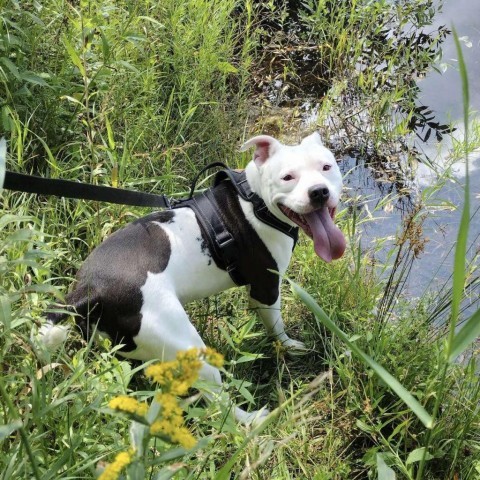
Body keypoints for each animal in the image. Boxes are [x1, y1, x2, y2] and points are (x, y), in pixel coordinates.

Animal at [37, 131, 344, 424]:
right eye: (287, 177)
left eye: (326, 167)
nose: (318, 191)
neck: (254, 200)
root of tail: (87, 289)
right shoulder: (266, 289)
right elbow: (276, 326)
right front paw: (289, 346)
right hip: (185, 345)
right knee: (218, 404)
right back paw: (253, 420)